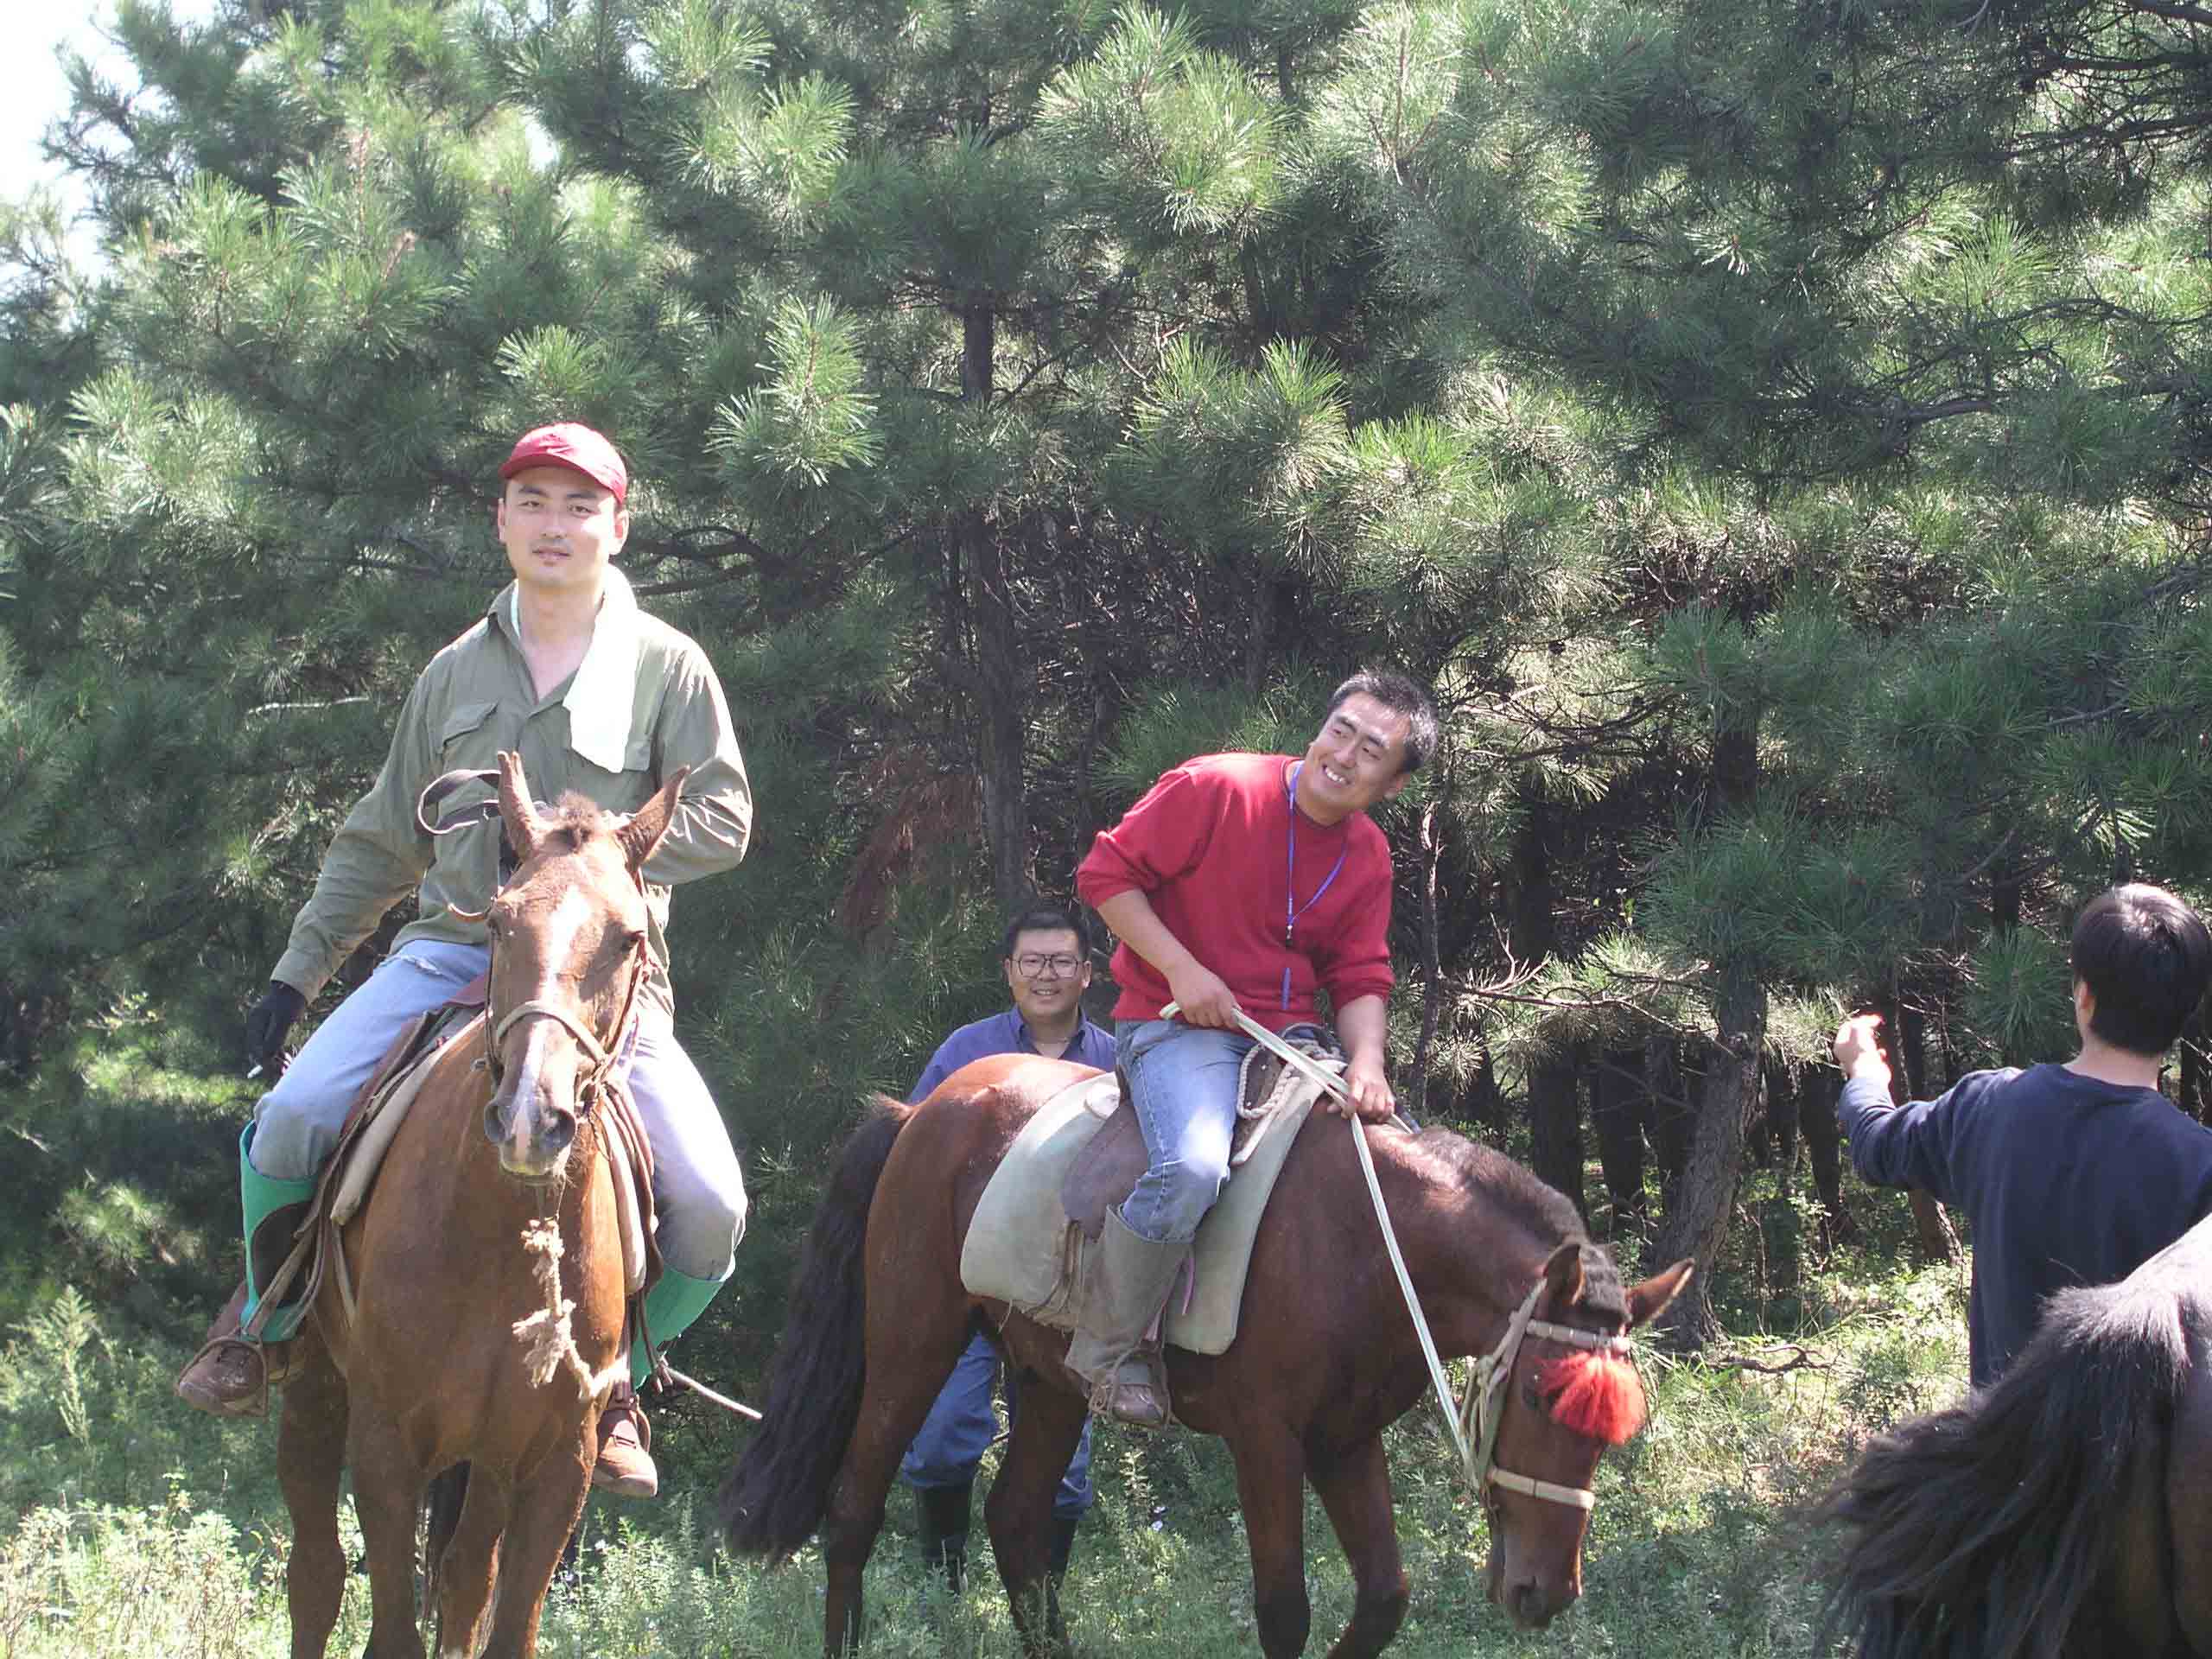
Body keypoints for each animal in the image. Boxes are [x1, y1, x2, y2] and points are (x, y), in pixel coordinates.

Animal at [275, 756, 677, 1659]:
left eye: (630, 938)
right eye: (497, 923)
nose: (531, 1115)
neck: (500, 1237)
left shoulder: (555, 1463)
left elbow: (504, 1621)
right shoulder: (386, 1444)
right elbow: (389, 1625)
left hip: (490, 1463)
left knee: (465, 1581)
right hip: (316, 1390)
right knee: (315, 1576)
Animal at [716, 1057, 1681, 1654]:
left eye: (1612, 1429)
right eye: (1536, 1398)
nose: (1544, 1594)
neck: (1369, 1244)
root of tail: (922, 1109)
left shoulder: (1343, 1440)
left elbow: (1382, 1600)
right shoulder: (1267, 1441)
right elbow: (1284, 1610)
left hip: (1050, 1380)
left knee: (1017, 1526)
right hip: (911, 1342)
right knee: (854, 1512)